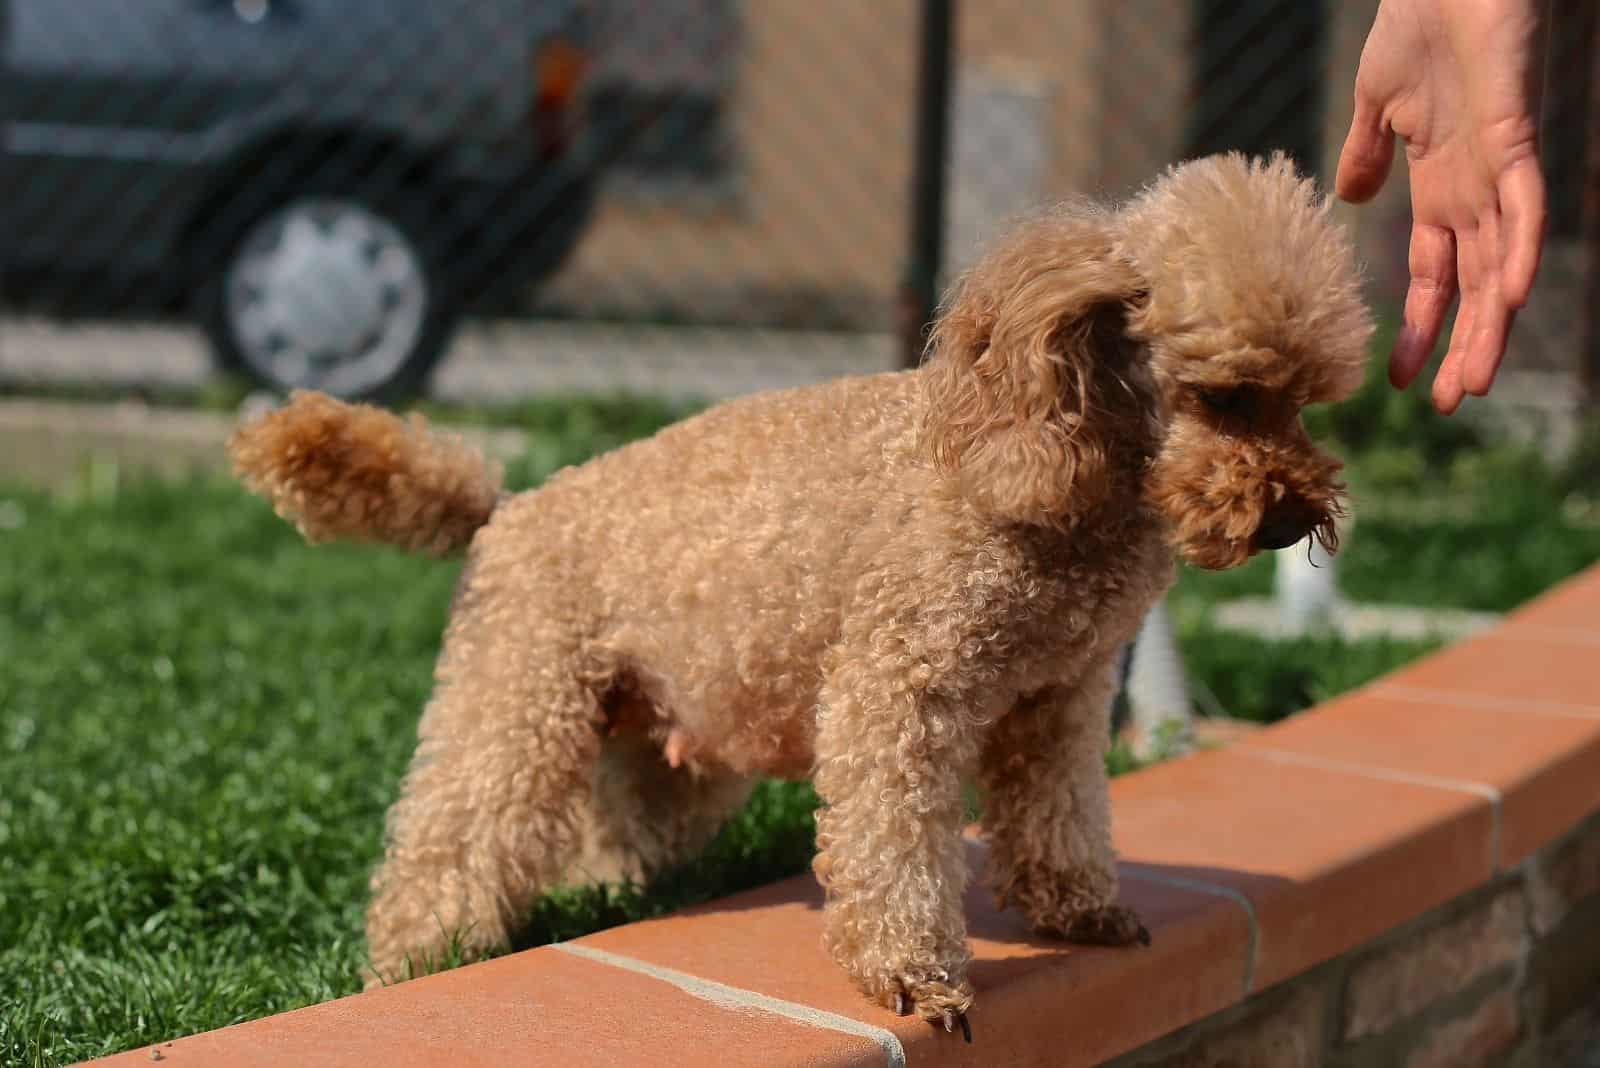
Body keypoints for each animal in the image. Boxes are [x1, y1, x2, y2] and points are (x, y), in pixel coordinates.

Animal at [228, 150, 1376, 1036]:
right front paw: (916, 977)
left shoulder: (1061, 698)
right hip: (517, 700)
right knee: (455, 840)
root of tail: (506, 506)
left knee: (618, 830)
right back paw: (417, 960)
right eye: (1223, 395)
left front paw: (1081, 912)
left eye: (1307, 403)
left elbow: (1063, 817)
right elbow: (893, 841)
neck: (1046, 462)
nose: (1289, 516)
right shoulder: (900, 686)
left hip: (670, 733)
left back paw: (604, 891)